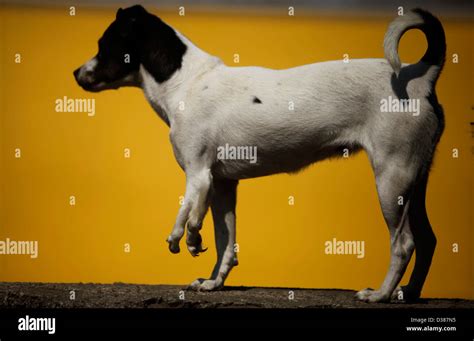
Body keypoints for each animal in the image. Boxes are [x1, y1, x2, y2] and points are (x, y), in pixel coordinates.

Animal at [73, 5, 444, 302]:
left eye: (103, 46)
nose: (76, 73)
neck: (185, 82)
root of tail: (420, 78)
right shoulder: (223, 185)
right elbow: (225, 241)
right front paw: (213, 282)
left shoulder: (198, 175)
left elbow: (186, 216)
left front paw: (187, 239)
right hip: (414, 180)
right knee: (427, 240)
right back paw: (408, 293)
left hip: (391, 179)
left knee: (403, 244)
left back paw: (380, 295)